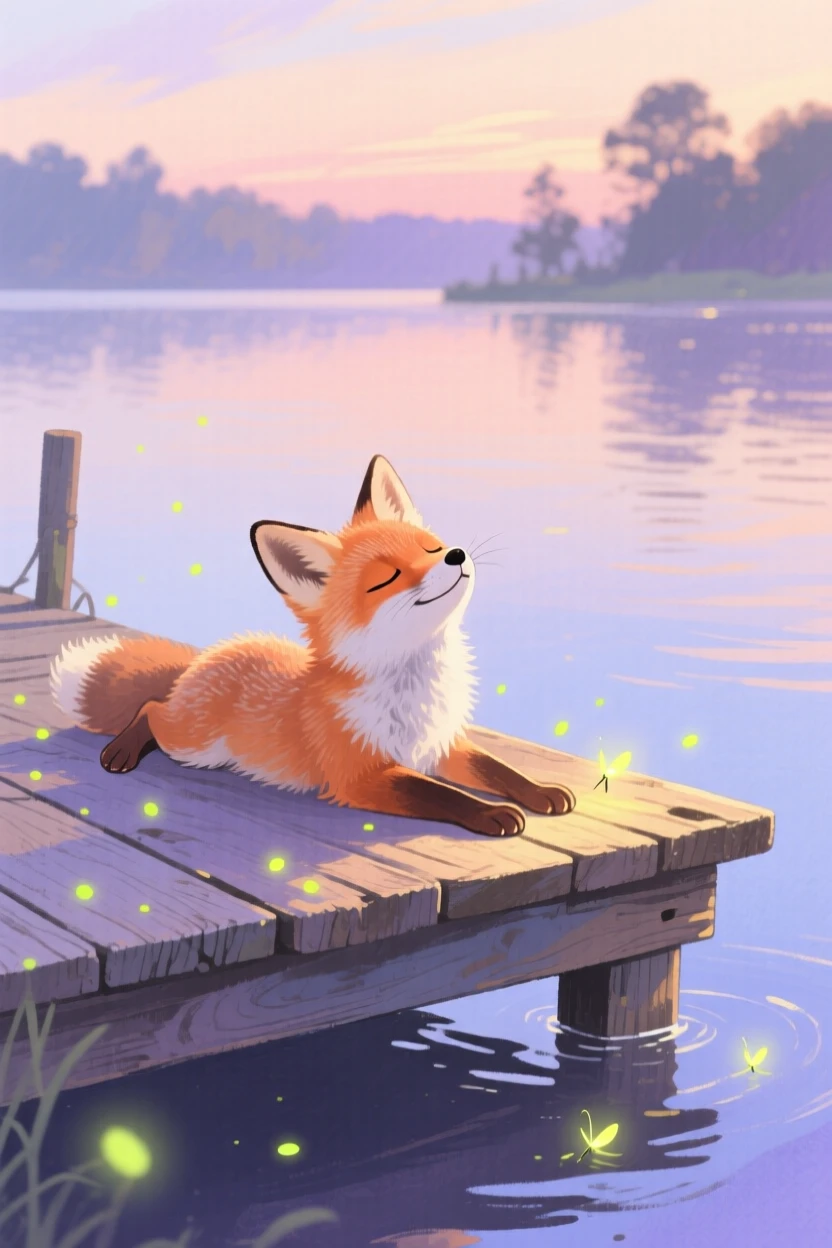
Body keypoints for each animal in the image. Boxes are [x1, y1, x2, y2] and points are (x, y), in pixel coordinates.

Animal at [50, 455, 575, 838]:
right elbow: (439, 794)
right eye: (388, 578)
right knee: (151, 710)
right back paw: (121, 749)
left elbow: (499, 769)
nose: (456, 554)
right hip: (192, 744)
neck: (413, 685)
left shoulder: (441, 744)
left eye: (429, 546)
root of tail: (210, 655)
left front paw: (542, 791)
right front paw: (491, 814)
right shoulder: (360, 774)